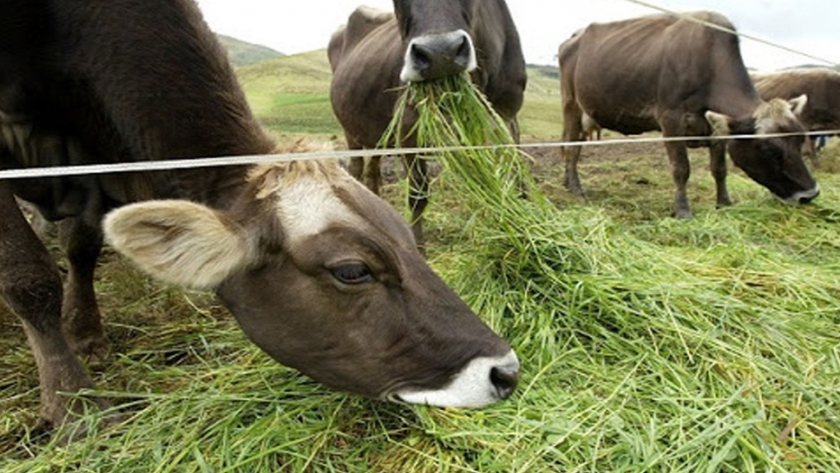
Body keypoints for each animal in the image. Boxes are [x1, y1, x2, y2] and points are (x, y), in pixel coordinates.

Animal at [328, 0, 524, 249]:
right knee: (356, 168)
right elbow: (418, 194)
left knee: (372, 172)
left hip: (375, 132)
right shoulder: (409, 125)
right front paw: (419, 250)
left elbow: (510, 177)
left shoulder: (507, 117)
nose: (441, 53)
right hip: (350, 129)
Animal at [556, 11, 820, 218]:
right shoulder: (671, 119)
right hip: (571, 103)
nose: (810, 194)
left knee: (574, 145)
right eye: (769, 149)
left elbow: (719, 169)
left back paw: (568, 183)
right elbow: (681, 169)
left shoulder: (715, 128)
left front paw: (724, 203)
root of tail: (573, 37)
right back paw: (577, 190)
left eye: (800, 139)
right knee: (570, 145)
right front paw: (683, 211)